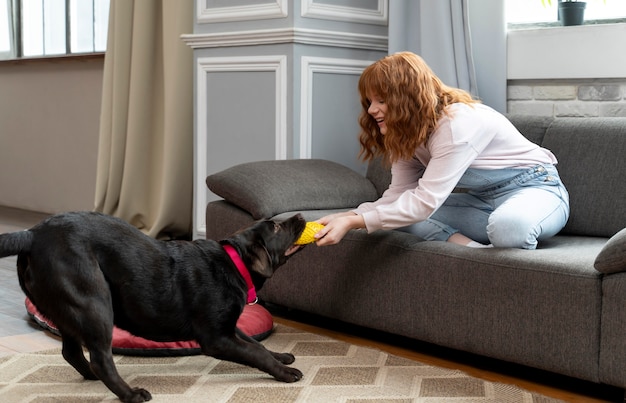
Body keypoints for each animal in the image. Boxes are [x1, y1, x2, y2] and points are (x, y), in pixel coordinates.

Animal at [0, 213, 304, 402]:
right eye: (275, 228)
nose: (301, 216)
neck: (235, 262)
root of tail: (32, 234)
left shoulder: (228, 327)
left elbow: (257, 344)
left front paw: (281, 357)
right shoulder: (216, 337)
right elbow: (255, 352)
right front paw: (285, 373)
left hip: (66, 309)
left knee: (71, 352)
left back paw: (93, 377)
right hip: (93, 301)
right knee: (101, 358)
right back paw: (130, 394)